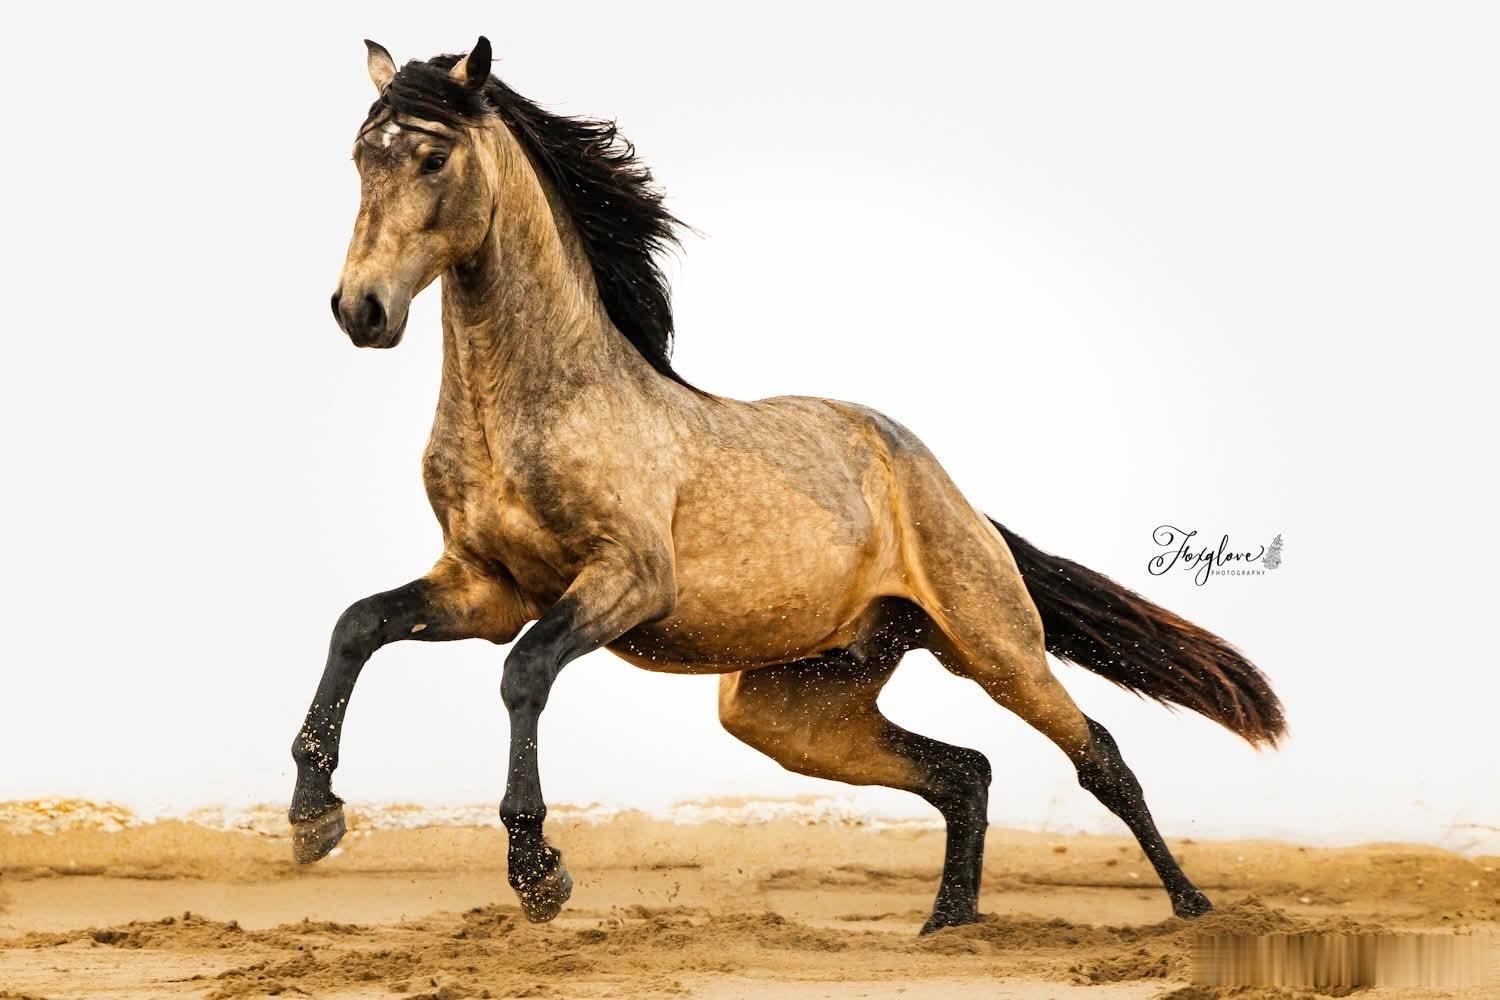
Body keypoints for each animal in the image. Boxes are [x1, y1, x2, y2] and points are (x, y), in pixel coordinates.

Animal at [292, 36, 1285, 935]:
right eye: (360, 154)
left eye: (433, 156)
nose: (360, 310)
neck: (536, 408)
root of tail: (940, 483)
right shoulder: (486, 587)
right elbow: (358, 625)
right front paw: (313, 819)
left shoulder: (624, 582)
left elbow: (523, 672)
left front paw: (538, 873)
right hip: (789, 708)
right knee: (964, 770)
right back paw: (948, 925)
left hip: (994, 646)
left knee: (1098, 755)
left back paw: (1192, 910)